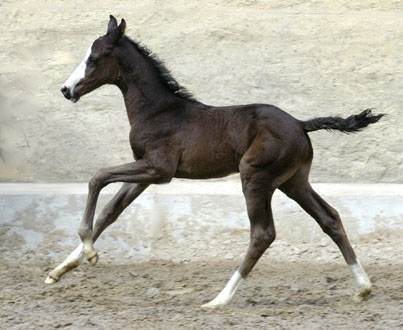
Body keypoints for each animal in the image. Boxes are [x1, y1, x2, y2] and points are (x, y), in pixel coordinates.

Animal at [45, 16, 384, 310]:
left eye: (95, 58)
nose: (66, 89)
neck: (157, 110)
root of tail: (301, 124)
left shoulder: (159, 169)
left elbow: (97, 177)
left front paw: (89, 252)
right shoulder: (146, 173)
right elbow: (110, 212)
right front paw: (62, 269)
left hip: (255, 177)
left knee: (263, 233)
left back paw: (220, 299)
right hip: (293, 181)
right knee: (330, 218)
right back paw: (363, 288)